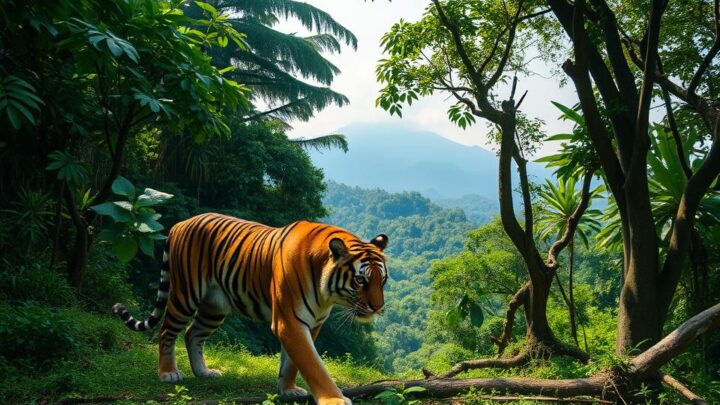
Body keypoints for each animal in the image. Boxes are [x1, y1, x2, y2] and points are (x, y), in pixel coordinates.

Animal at [112, 212, 388, 405]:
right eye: (361, 280)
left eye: (382, 280)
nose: (378, 307)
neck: (326, 295)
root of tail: (180, 224)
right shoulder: (290, 321)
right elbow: (313, 365)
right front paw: (335, 399)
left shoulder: (312, 323)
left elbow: (292, 363)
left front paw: (288, 390)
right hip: (185, 294)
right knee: (166, 331)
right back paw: (168, 373)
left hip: (214, 307)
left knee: (193, 334)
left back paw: (204, 372)